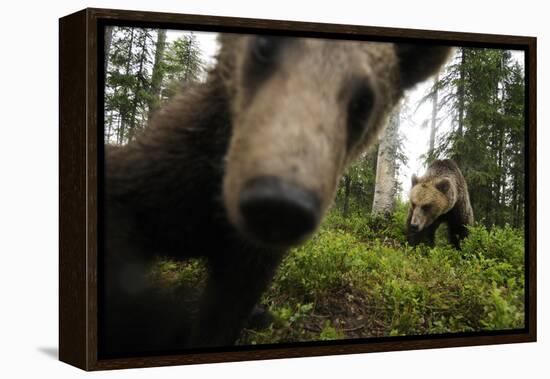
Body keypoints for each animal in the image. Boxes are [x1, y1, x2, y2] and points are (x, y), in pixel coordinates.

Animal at [102, 33, 452, 356]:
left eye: (364, 100)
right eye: (265, 45)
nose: (279, 203)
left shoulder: (249, 258)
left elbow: (226, 311)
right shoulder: (166, 176)